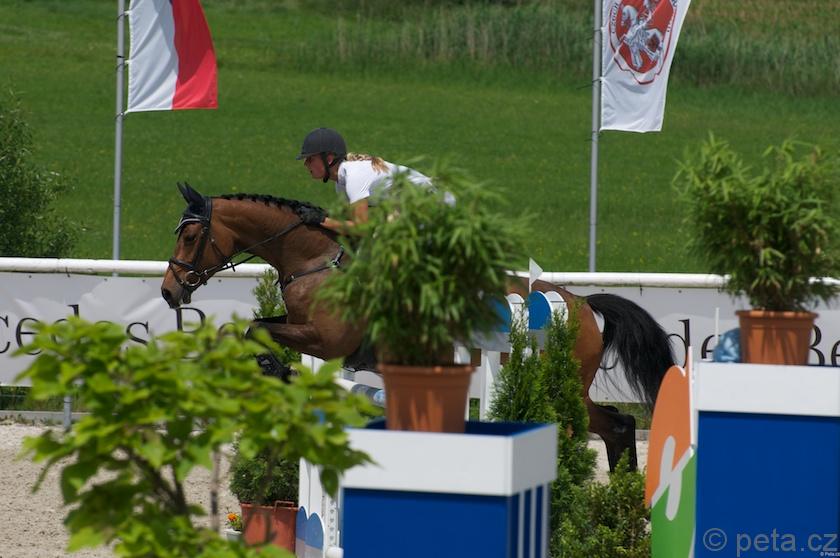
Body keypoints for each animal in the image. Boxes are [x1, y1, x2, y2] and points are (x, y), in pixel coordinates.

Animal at [161, 183, 675, 471]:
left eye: (192, 235)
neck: (314, 259)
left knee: (607, 424)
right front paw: (269, 370)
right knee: (618, 425)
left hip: (556, 382)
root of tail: (582, 305)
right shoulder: (301, 325)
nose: (168, 293)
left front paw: (276, 369)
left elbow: (255, 333)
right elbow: (247, 329)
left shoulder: (327, 340)